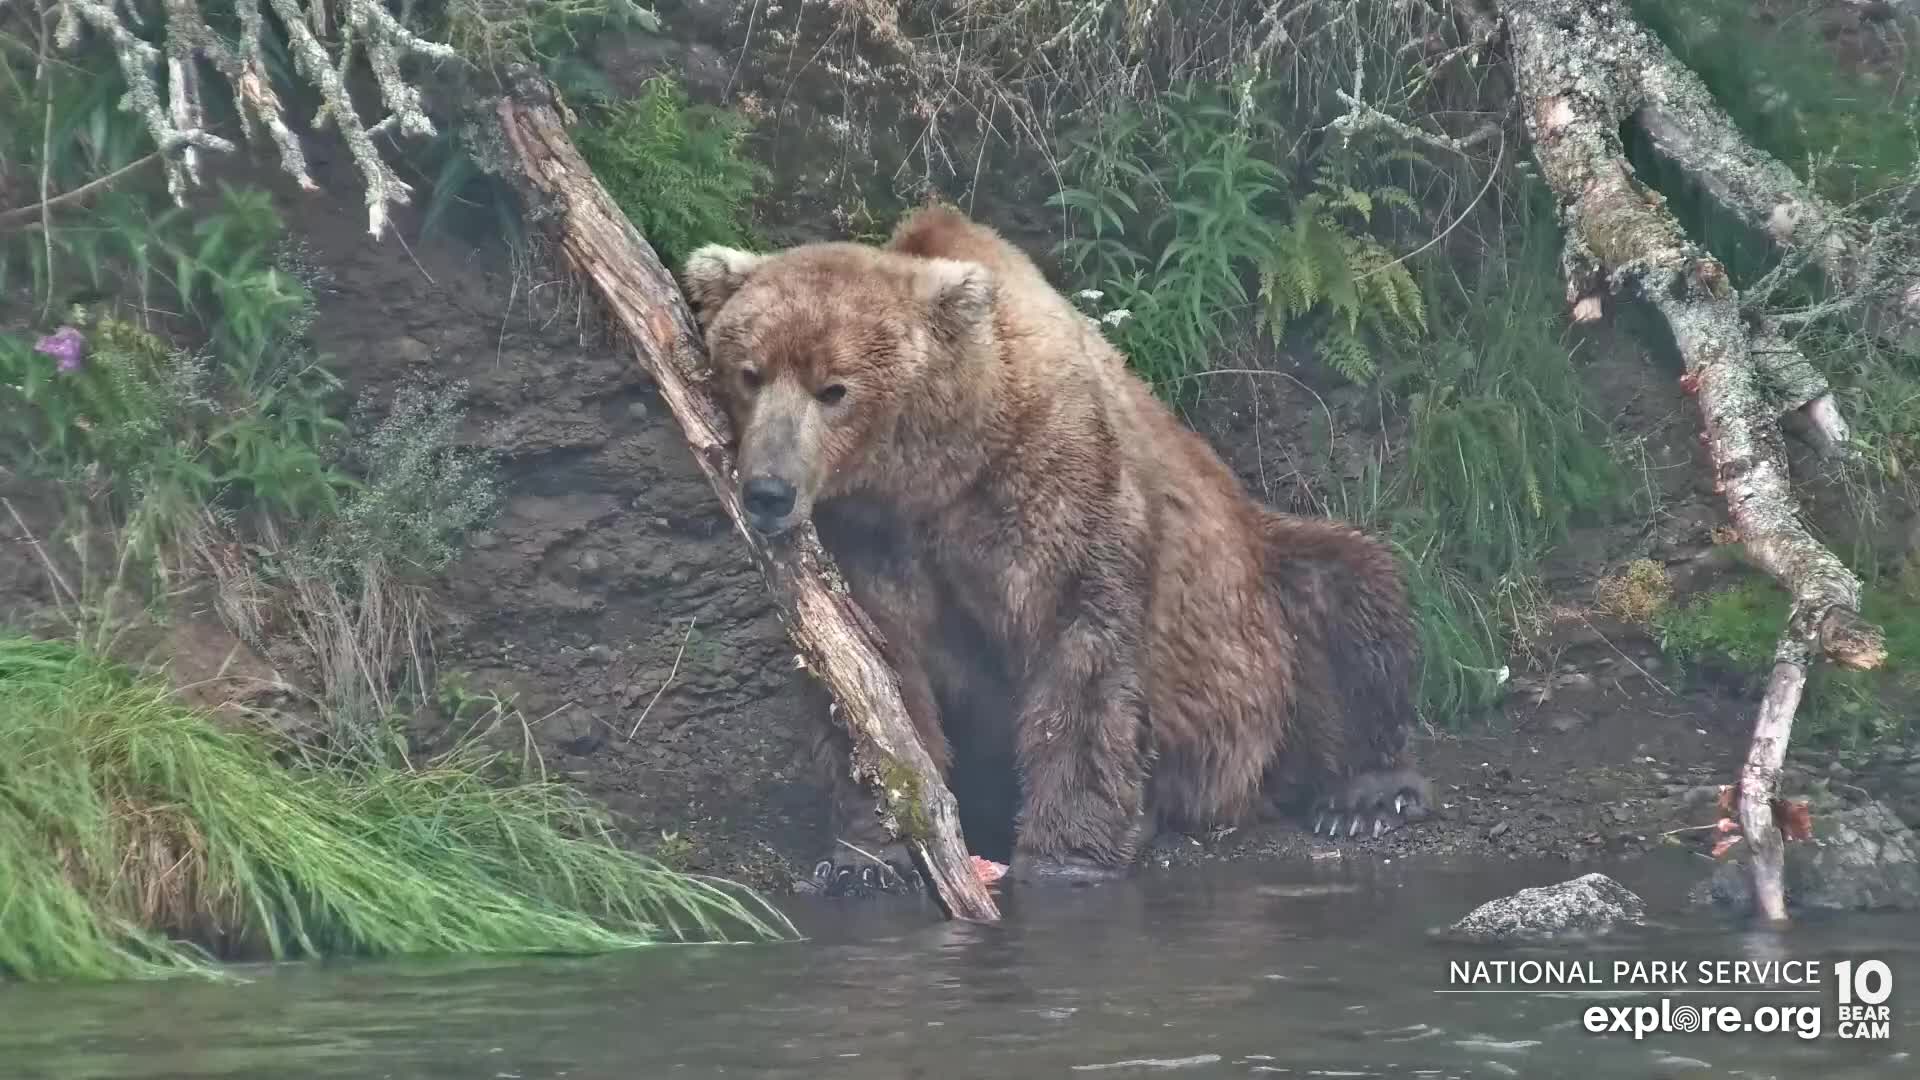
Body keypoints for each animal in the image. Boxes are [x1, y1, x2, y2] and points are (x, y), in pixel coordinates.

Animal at [681, 203, 1433, 895]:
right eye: (749, 372)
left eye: (834, 387)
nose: (768, 490)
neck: (937, 468)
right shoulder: (865, 537)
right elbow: (870, 679)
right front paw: (866, 857)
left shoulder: (1055, 483)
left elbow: (1081, 650)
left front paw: (1065, 857)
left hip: (1265, 605)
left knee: (1349, 592)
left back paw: (1364, 796)